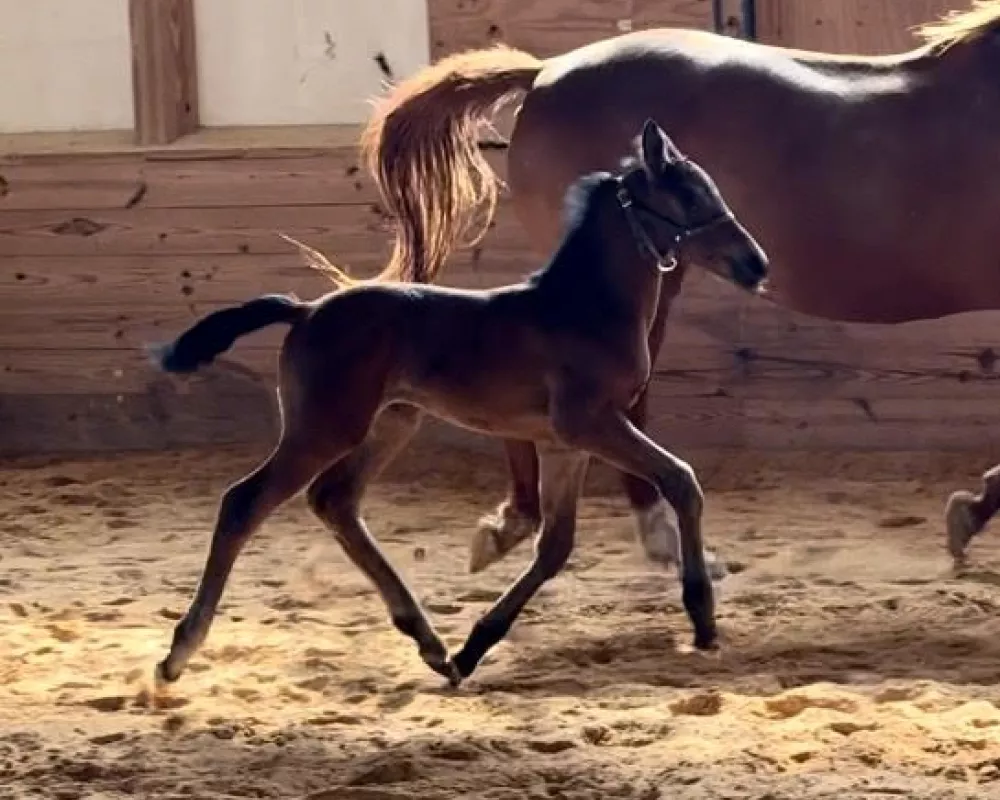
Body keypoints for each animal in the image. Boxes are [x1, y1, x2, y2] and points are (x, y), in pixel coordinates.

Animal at [146, 119, 764, 688]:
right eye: (689, 196)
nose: (755, 264)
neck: (586, 307)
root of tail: (307, 310)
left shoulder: (563, 444)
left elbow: (555, 547)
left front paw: (474, 647)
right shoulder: (590, 424)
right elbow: (681, 480)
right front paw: (702, 617)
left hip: (392, 422)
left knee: (335, 501)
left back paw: (430, 642)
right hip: (324, 428)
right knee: (244, 503)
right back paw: (178, 653)